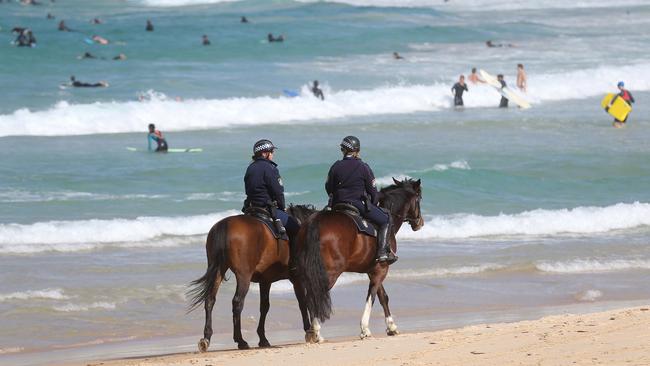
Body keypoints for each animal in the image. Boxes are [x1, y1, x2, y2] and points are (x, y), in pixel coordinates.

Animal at [187, 204, 316, 350]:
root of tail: (225, 224)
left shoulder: (265, 281)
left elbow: (264, 306)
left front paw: (263, 339)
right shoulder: (297, 279)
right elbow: (303, 302)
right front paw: (310, 331)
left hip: (218, 270)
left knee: (210, 300)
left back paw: (206, 338)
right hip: (244, 276)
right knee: (237, 302)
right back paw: (241, 340)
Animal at [292, 179, 420, 342]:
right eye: (419, 199)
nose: (419, 223)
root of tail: (315, 221)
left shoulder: (374, 270)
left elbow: (383, 296)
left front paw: (391, 327)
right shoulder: (381, 268)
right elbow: (372, 296)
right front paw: (365, 328)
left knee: (309, 297)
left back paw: (312, 332)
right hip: (329, 273)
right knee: (316, 295)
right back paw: (316, 333)